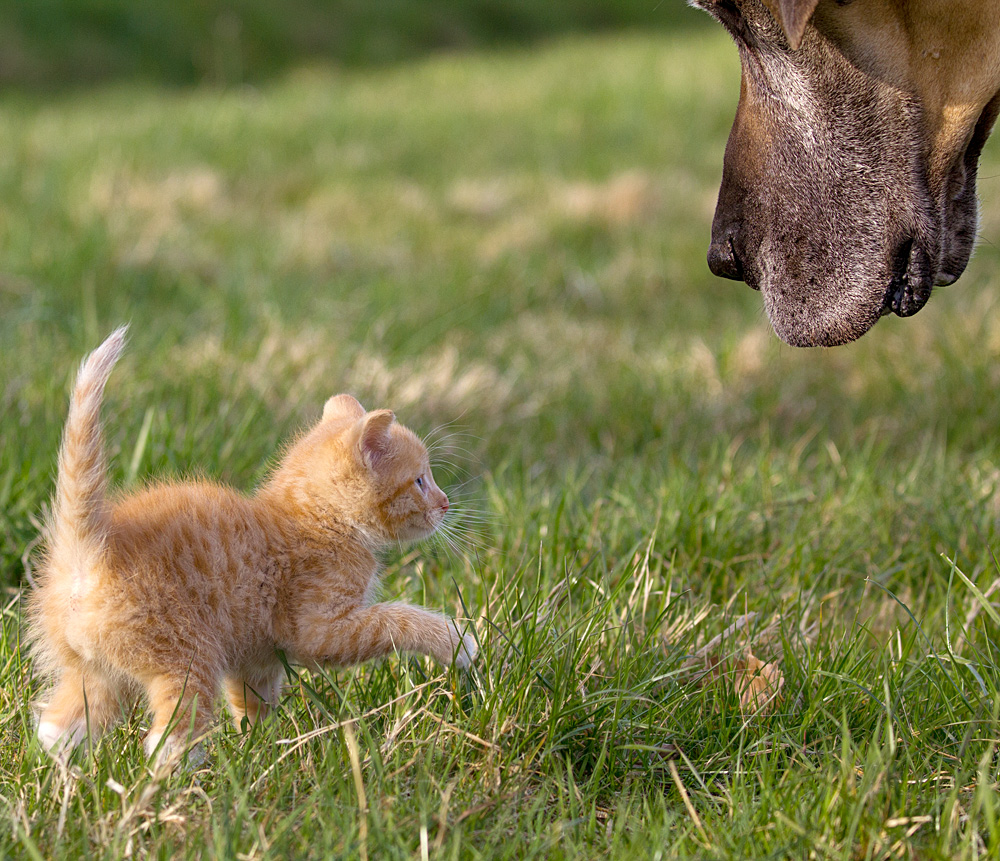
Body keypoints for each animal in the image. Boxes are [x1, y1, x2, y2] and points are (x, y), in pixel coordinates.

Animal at [25, 326, 474, 764]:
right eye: (420, 481)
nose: (445, 503)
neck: (319, 517)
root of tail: (89, 554)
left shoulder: (257, 654)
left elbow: (253, 698)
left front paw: (260, 743)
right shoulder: (318, 629)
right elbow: (395, 620)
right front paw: (457, 641)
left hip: (97, 671)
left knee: (55, 728)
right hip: (186, 653)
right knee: (165, 738)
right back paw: (185, 775)